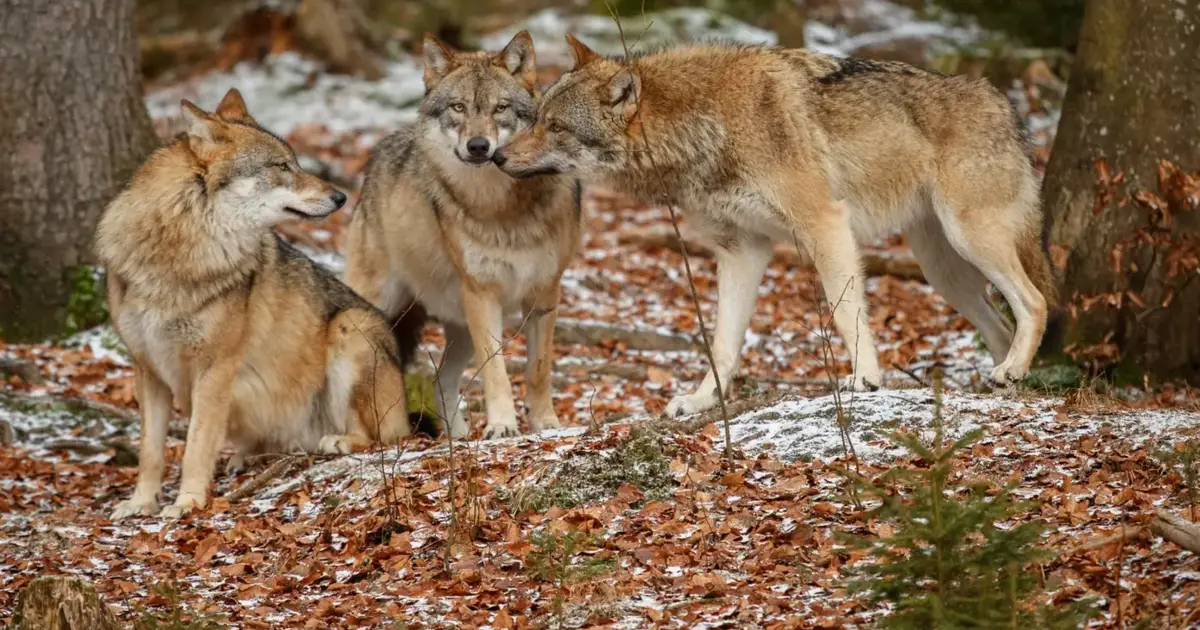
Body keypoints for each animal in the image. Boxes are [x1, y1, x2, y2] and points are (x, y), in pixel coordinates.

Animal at [96, 89, 417, 519]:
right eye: (282, 166)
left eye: (295, 162)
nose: (341, 196)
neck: (181, 252)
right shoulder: (147, 369)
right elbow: (151, 452)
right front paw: (140, 503)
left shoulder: (215, 368)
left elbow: (195, 447)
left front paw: (186, 503)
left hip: (351, 327)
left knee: (385, 436)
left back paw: (337, 441)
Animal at [343, 32, 581, 439]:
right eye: (458, 107)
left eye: (500, 108)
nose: (478, 146)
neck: (500, 208)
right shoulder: (483, 293)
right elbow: (496, 371)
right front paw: (502, 426)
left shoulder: (545, 294)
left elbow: (539, 370)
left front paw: (545, 423)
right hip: (376, 311)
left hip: (459, 326)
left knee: (440, 380)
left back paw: (456, 437)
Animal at [493, 37, 1057, 417]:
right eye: (535, 116)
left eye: (555, 126)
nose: (496, 156)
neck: (708, 125)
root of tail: (1006, 105)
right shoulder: (741, 249)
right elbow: (722, 343)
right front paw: (701, 401)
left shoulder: (824, 224)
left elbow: (846, 311)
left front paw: (865, 378)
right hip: (944, 271)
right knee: (1000, 325)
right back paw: (1002, 382)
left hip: (970, 240)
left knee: (1035, 302)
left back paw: (1011, 370)